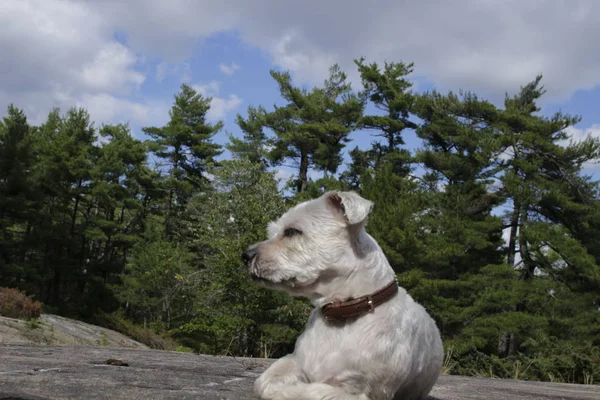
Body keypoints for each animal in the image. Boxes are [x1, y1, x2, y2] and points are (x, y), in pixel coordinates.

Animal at [241, 191, 442, 400]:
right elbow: (264, 381)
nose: (245, 256)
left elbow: (319, 391)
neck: (343, 309)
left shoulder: (368, 390)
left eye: (292, 232)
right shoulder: (294, 360)